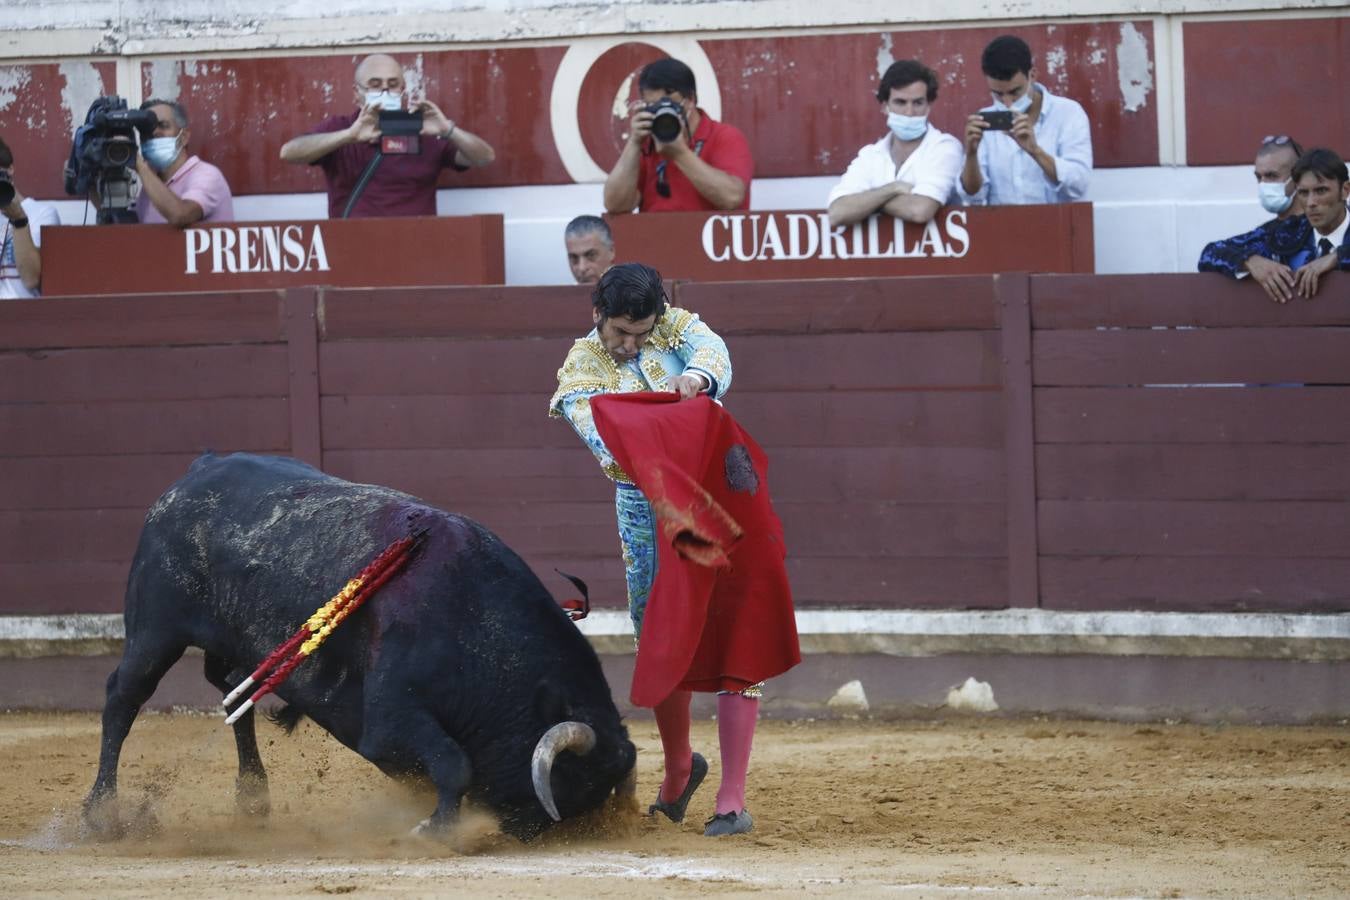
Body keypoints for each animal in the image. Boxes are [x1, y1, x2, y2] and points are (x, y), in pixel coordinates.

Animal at [84, 453, 637, 841]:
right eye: (568, 786)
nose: (524, 833)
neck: (474, 620)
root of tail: (196, 472)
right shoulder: (391, 719)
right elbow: (454, 763)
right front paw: (433, 830)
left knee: (231, 694)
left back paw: (253, 801)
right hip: (154, 632)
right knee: (122, 698)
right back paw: (100, 815)